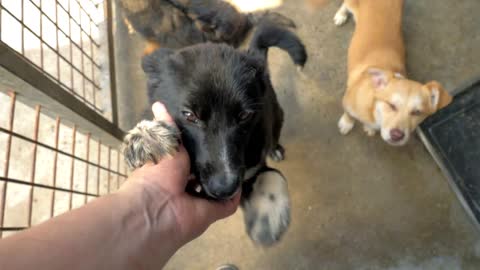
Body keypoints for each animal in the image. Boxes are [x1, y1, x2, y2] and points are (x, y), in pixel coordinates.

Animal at [332, 0, 452, 146]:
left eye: (417, 112)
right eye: (391, 105)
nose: (397, 135)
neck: (374, 108)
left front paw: (369, 129)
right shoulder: (347, 101)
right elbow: (348, 113)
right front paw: (346, 123)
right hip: (351, 3)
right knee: (345, 3)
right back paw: (341, 15)